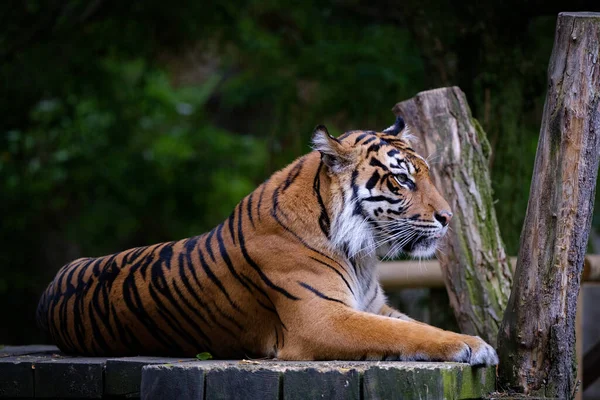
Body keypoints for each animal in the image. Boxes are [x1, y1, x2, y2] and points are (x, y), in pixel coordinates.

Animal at [35, 115, 500, 366]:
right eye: (402, 180)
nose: (448, 217)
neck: (359, 252)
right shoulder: (320, 318)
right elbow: (404, 334)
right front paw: (474, 345)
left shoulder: (373, 306)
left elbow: (415, 324)